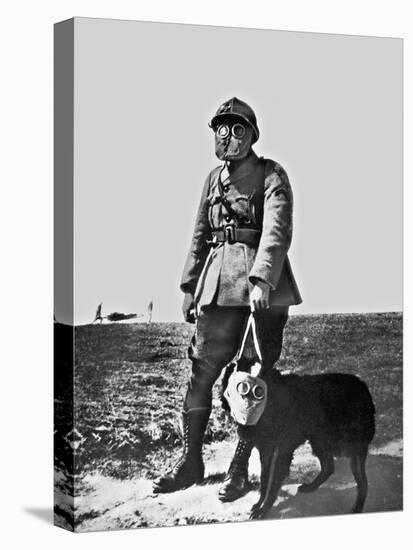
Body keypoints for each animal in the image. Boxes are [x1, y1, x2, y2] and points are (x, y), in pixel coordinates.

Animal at [233, 370, 374, 520]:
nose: (241, 432)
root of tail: (363, 386)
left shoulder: (283, 453)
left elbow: (273, 484)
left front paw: (264, 509)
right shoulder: (266, 452)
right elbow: (264, 481)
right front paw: (260, 504)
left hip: (352, 446)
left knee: (362, 482)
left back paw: (358, 507)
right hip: (319, 440)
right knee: (329, 467)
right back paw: (311, 487)